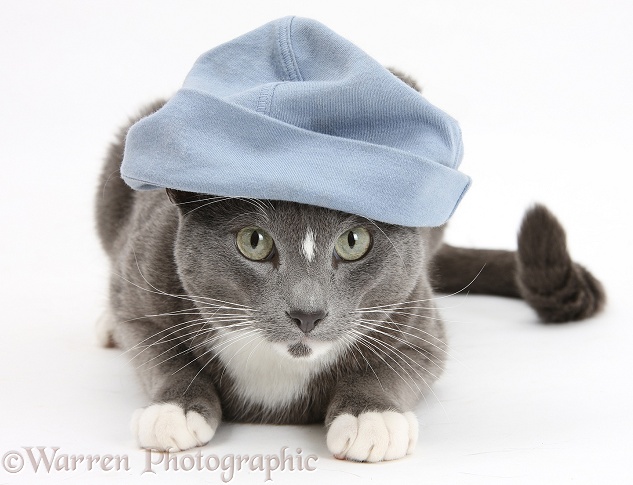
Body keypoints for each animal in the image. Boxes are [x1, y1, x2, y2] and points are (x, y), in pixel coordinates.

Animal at [94, 73, 604, 462]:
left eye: (353, 241)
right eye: (254, 242)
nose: (307, 312)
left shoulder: (418, 321)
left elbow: (395, 367)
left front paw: (370, 419)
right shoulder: (140, 293)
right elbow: (162, 356)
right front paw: (174, 410)